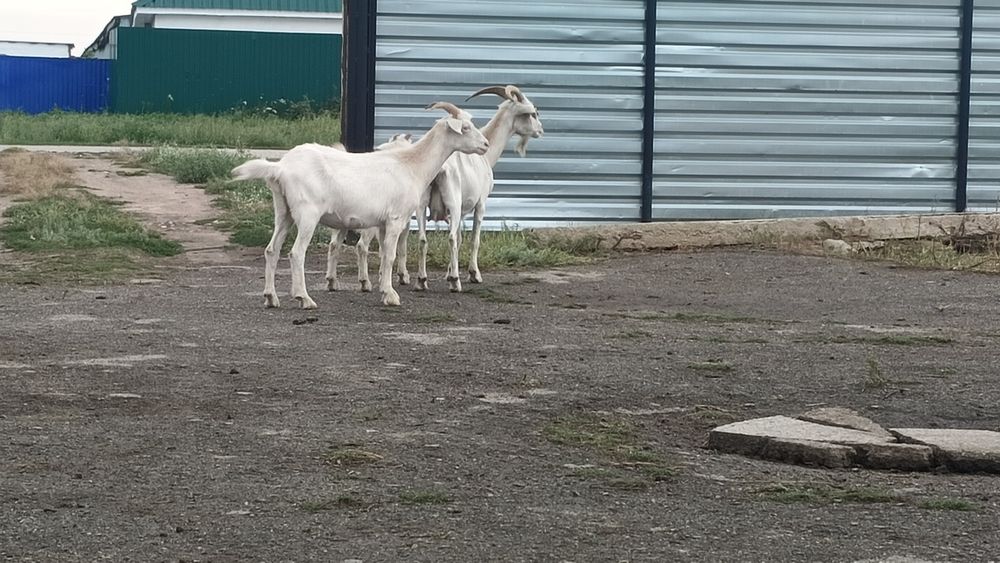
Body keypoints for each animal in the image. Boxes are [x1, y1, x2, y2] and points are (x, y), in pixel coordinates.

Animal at [230, 103, 489, 308]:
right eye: (465, 128)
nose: (485, 145)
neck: (411, 165)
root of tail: (280, 167)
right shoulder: (396, 218)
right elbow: (391, 255)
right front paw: (391, 295)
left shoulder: (383, 223)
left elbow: (384, 255)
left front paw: (384, 289)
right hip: (307, 213)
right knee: (296, 253)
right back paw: (304, 298)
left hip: (284, 211)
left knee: (271, 250)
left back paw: (271, 297)